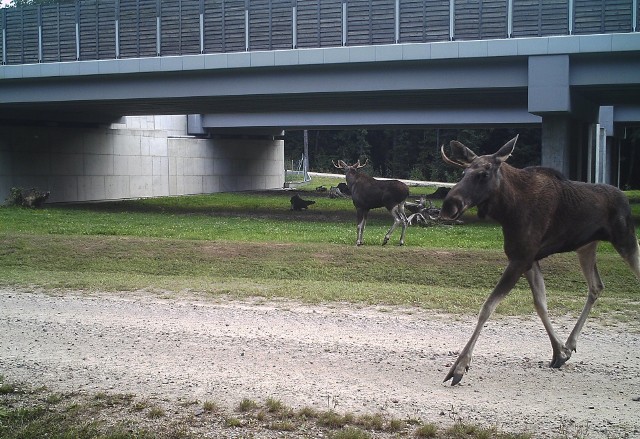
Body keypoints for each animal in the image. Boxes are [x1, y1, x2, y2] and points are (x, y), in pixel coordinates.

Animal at [440, 136, 640, 386]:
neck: (508, 209)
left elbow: (487, 307)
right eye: (464, 171)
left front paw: (459, 367)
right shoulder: (528, 259)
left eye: (483, 174)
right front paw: (559, 352)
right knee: (596, 286)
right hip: (586, 246)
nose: (449, 205)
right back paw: (571, 342)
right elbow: (540, 304)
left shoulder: (520, 259)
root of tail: (625, 198)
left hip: (626, 239)